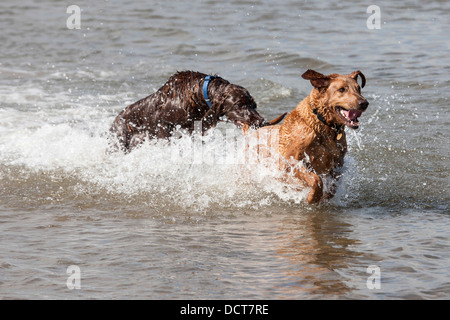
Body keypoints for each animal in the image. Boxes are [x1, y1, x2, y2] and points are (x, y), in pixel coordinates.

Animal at [109, 71, 284, 151]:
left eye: (254, 105)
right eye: (239, 104)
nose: (260, 121)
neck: (199, 94)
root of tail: (115, 121)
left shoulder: (199, 132)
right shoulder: (163, 129)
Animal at [250, 70, 370, 205]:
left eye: (359, 89)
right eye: (341, 89)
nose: (364, 103)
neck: (323, 126)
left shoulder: (338, 164)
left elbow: (333, 186)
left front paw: (325, 197)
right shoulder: (289, 161)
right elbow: (315, 179)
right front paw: (313, 197)